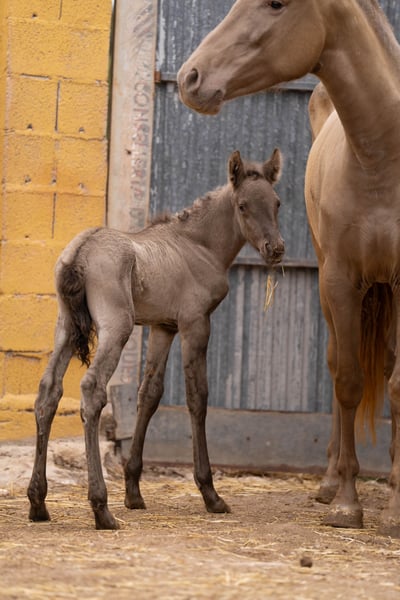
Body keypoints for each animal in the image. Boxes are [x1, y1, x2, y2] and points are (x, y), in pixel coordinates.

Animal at [27, 149, 284, 530]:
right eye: (243, 206)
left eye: (277, 203)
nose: (276, 249)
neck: (198, 245)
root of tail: (80, 252)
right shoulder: (195, 323)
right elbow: (197, 397)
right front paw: (211, 494)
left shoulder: (164, 327)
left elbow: (149, 394)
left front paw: (134, 492)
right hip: (116, 328)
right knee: (92, 390)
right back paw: (101, 508)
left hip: (65, 328)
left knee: (49, 391)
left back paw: (38, 502)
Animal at [178, 0, 400, 537]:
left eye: (277, 4)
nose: (190, 77)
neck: (385, 156)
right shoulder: (340, 280)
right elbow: (348, 381)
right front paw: (347, 504)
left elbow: (398, 387)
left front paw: (395, 509)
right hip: (332, 290)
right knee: (341, 367)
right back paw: (331, 482)